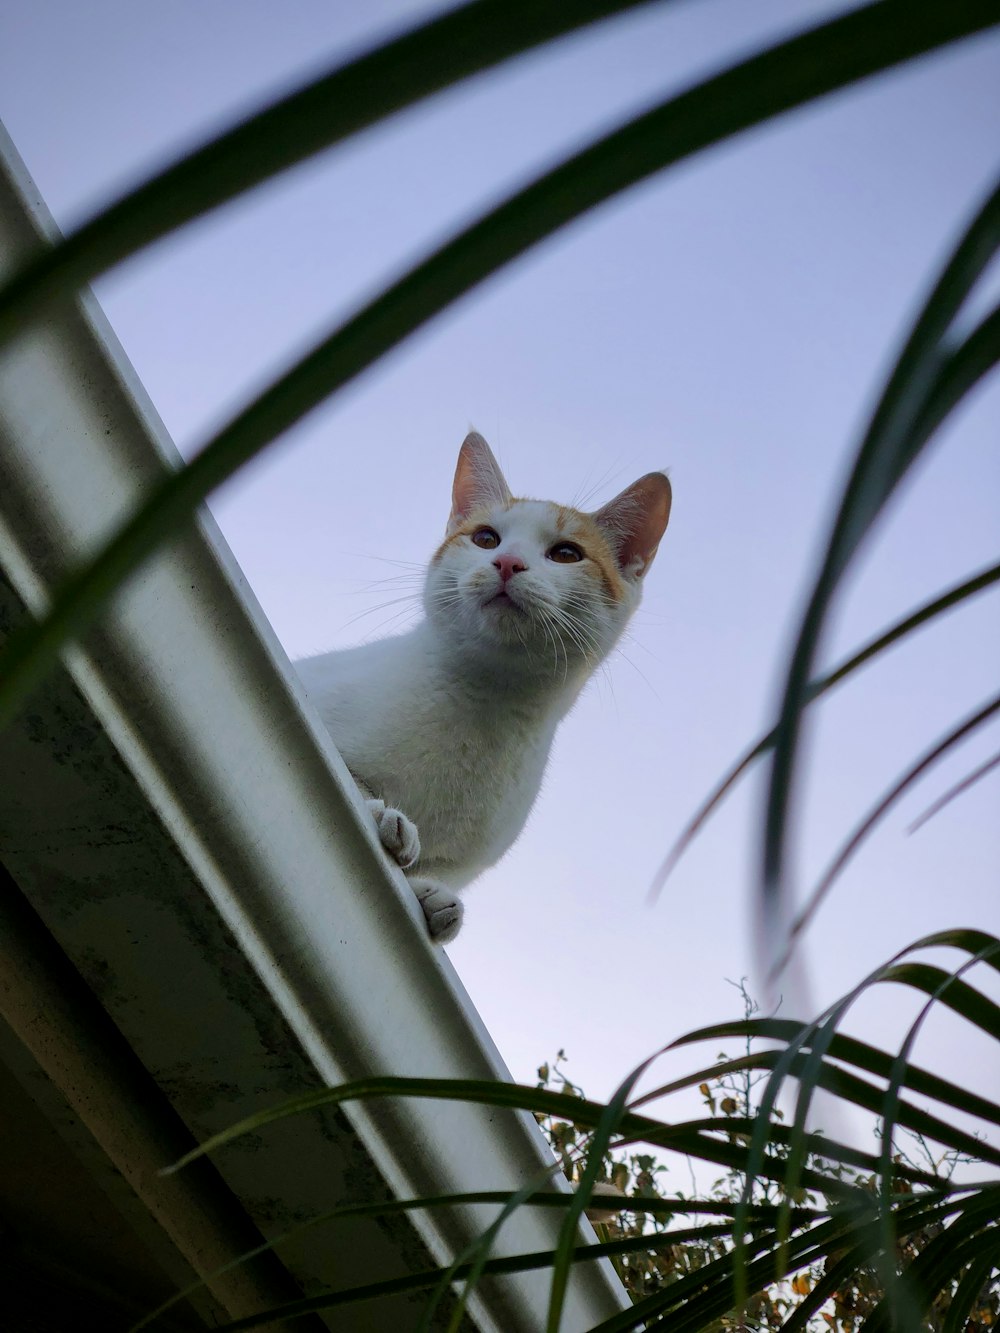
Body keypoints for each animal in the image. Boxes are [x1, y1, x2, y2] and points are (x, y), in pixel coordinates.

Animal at [297, 431, 674, 943]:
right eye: (485, 539)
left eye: (566, 554)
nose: (508, 562)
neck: (483, 703)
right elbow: (352, 781)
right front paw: (383, 815)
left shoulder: (466, 858)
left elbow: (441, 872)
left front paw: (431, 894)